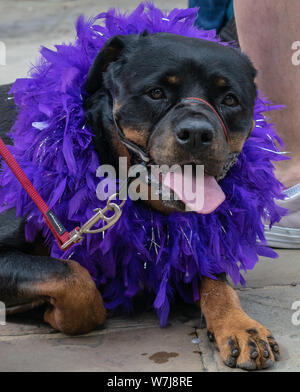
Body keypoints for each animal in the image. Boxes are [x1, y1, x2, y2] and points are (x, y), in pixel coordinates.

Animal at [0, 32, 280, 370]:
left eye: (229, 100)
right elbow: (75, 280)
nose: (196, 133)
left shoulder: (195, 245)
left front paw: (240, 325)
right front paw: (48, 313)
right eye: (155, 92)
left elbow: (218, 284)